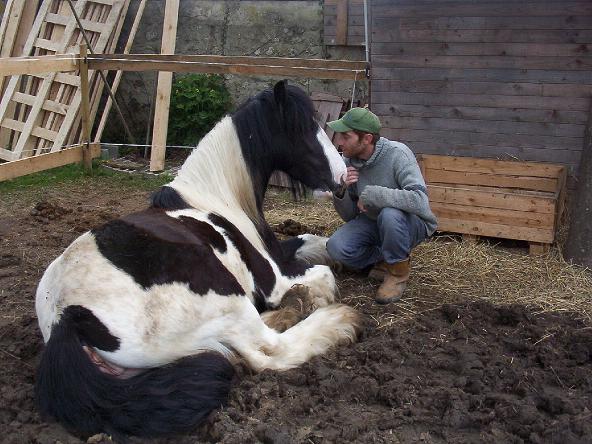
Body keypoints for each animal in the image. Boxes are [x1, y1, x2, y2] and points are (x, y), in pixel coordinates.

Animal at [35, 81, 366, 438]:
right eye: (303, 127)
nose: (342, 179)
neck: (216, 198)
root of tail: (66, 319)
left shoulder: (277, 255)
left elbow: (315, 242)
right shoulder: (274, 280)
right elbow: (324, 275)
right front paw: (319, 297)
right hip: (228, 297)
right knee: (268, 350)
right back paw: (336, 319)